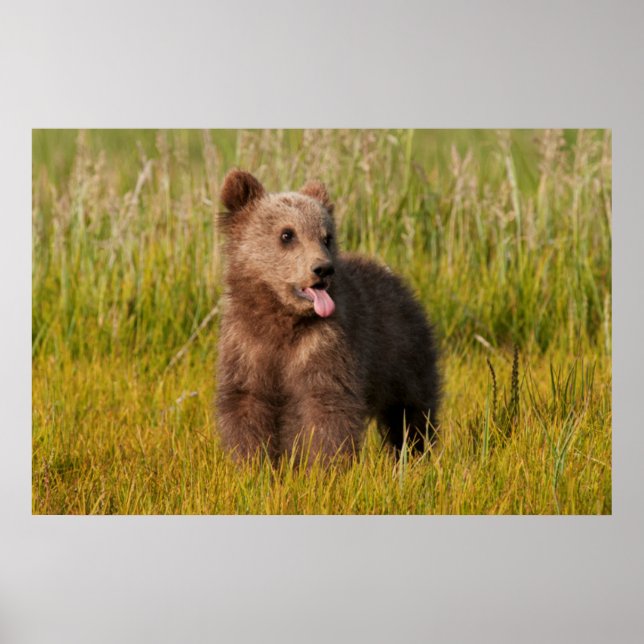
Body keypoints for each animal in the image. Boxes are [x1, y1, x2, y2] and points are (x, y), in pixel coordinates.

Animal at [215, 169, 441, 465]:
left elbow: (327, 408)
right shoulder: (246, 345)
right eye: (287, 234)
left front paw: (325, 466)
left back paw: (416, 453)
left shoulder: (324, 345)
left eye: (326, 237)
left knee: (410, 411)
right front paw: (251, 464)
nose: (323, 268)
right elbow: (245, 403)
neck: (282, 318)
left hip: (402, 354)